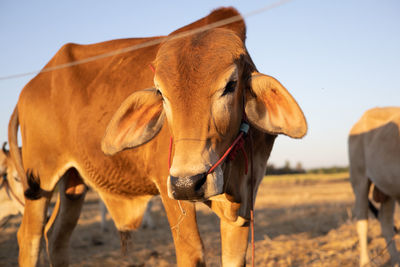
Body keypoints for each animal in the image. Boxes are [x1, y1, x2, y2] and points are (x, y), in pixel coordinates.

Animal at [9, 7, 306, 266]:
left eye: (231, 85)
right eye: (161, 93)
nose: (188, 183)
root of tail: (29, 86)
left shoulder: (245, 200)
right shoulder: (169, 189)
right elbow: (192, 253)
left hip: (73, 183)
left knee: (56, 237)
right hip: (41, 179)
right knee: (30, 237)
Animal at [348, 107, 400, 267]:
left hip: (388, 188)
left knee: (386, 221)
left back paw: (396, 259)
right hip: (359, 179)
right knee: (362, 221)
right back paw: (365, 261)